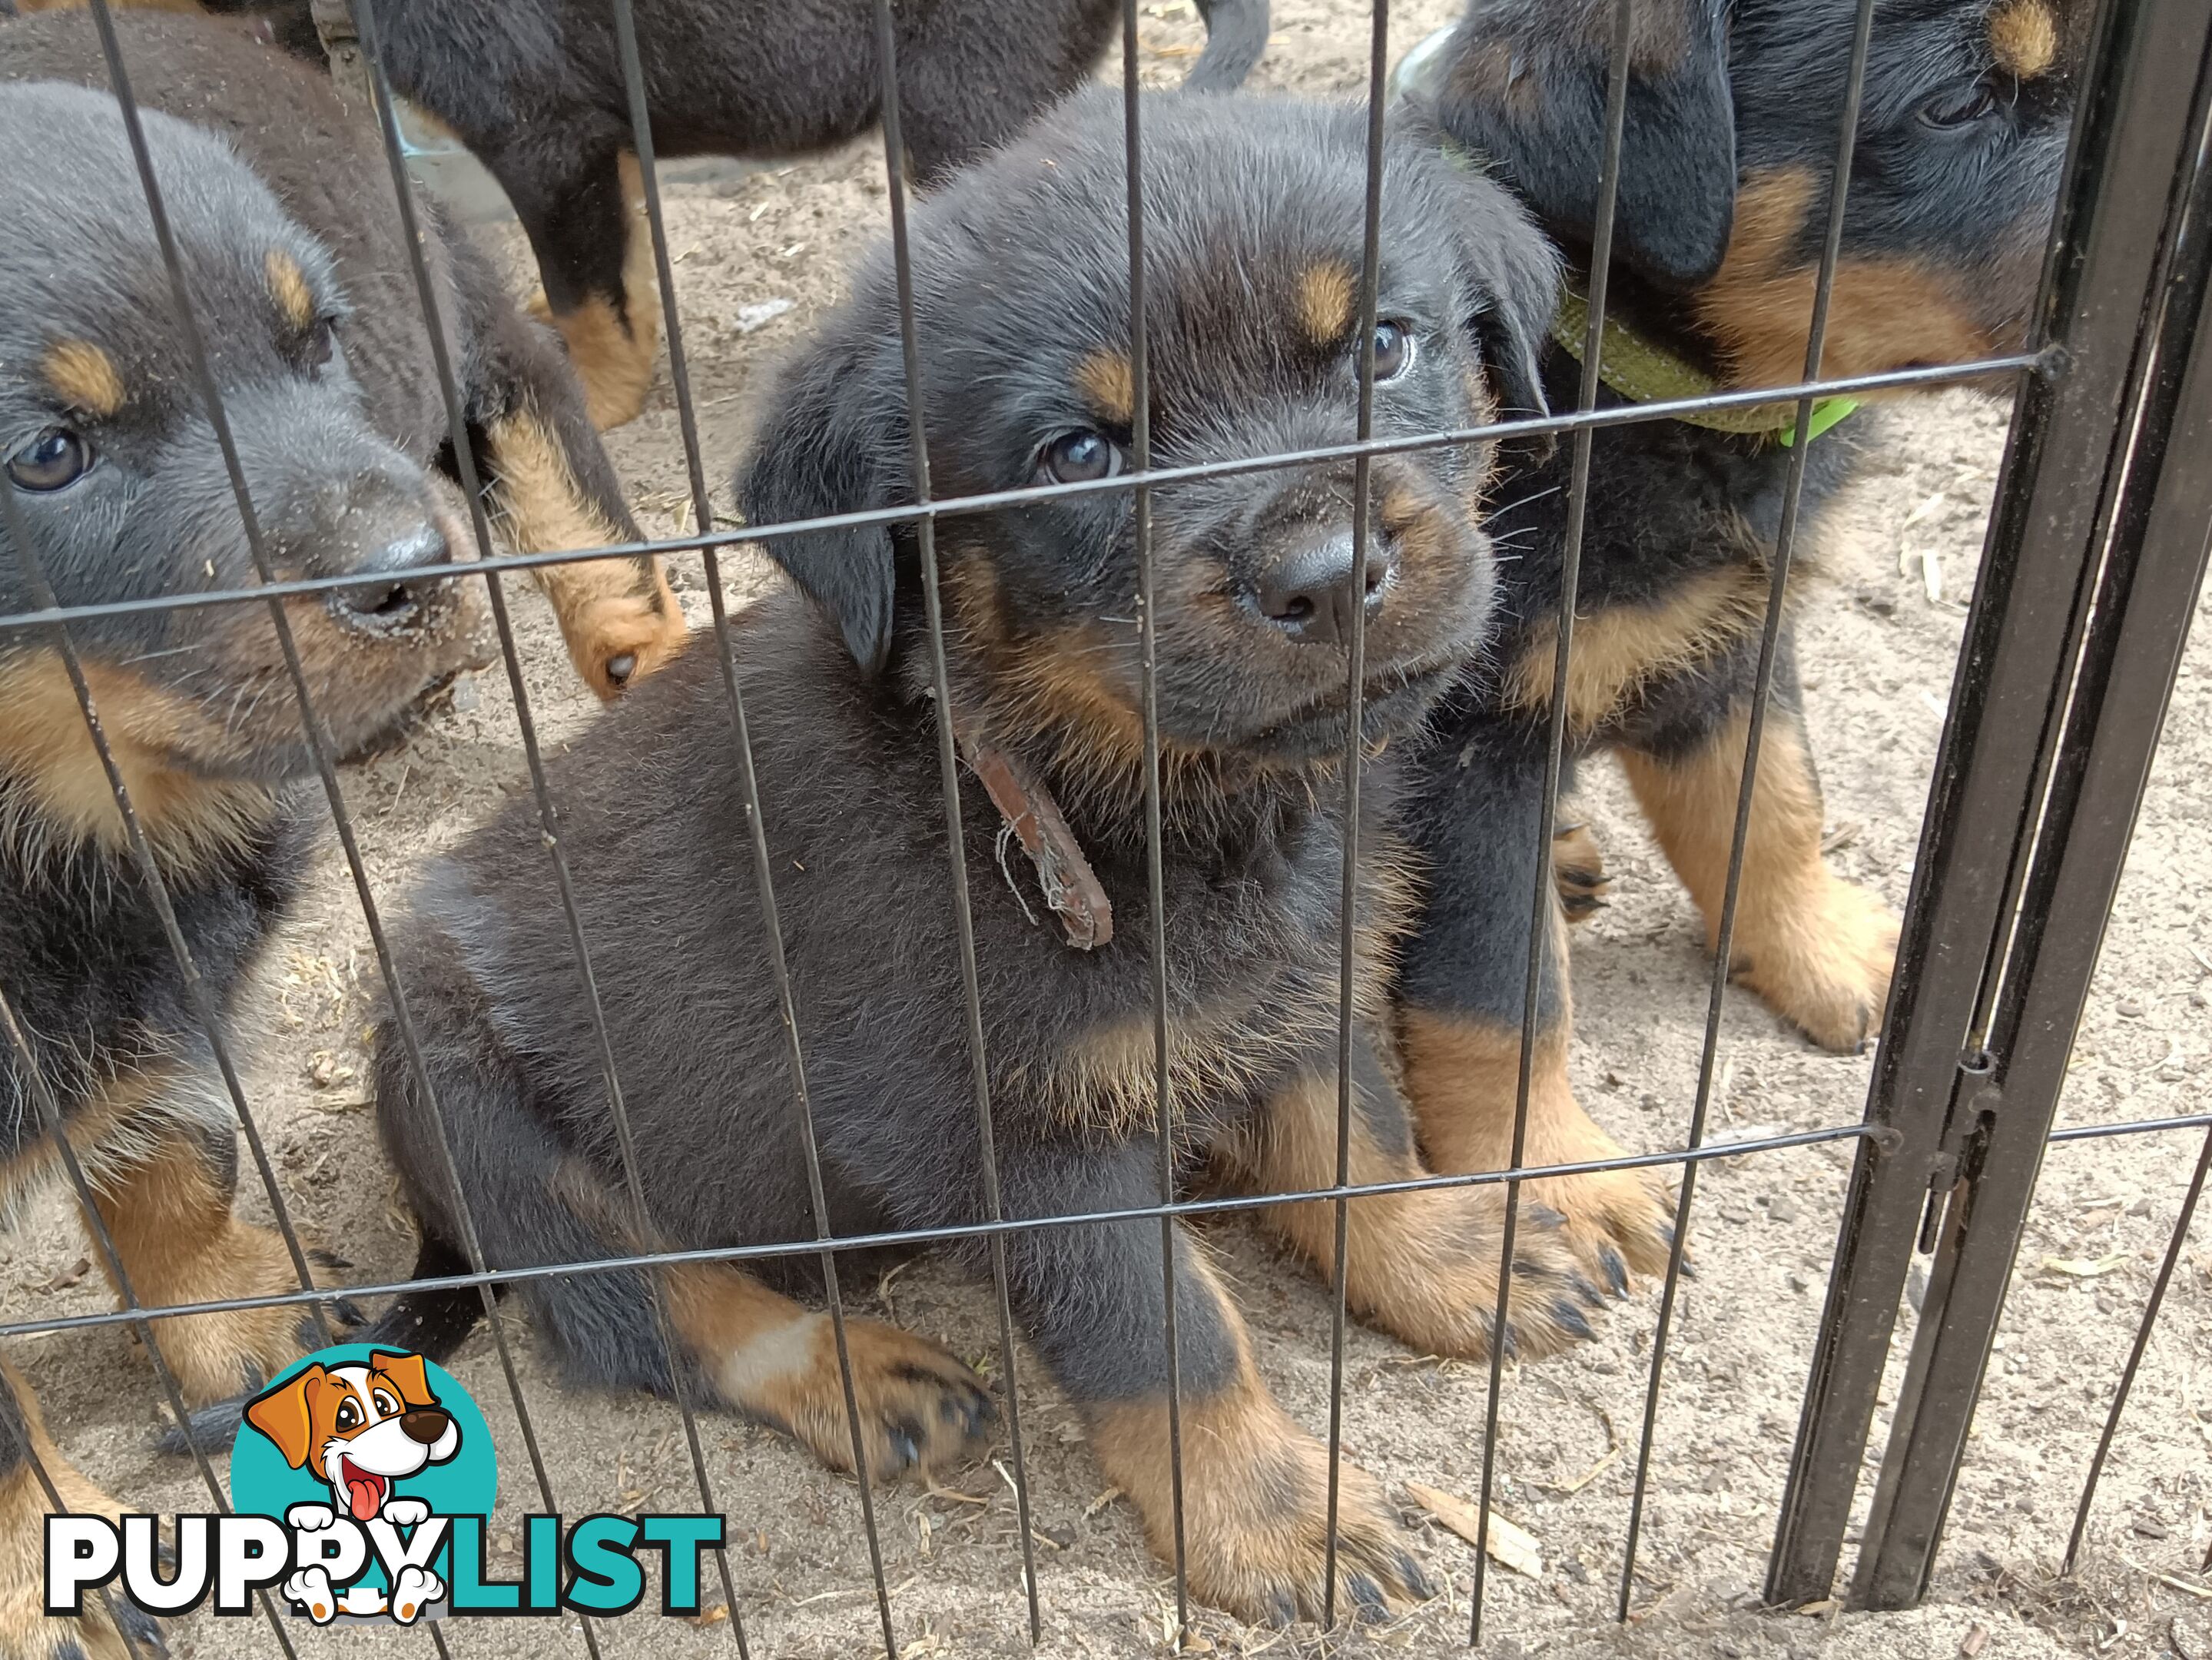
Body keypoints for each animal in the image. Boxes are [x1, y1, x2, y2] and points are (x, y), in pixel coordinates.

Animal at [0, 78, 499, 1660]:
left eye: (316, 340)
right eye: (46, 455)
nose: (419, 567)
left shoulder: (163, 998)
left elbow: (169, 1148)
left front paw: (234, 1325)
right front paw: (39, 1562)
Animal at [305, 0, 1282, 429]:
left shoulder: (540, 133)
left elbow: (587, 297)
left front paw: (597, 398)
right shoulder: (605, 137)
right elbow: (624, 268)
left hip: (964, 95)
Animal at [358, 91, 1574, 1628]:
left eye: (1381, 345)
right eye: (1077, 455)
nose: (1322, 572)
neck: (1081, 795)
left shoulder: (1297, 996)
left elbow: (1354, 1143)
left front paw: (1450, 1262)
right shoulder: (1022, 1137)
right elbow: (1165, 1334)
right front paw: (1273, 1516)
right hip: (481, 1111)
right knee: (650, 1307)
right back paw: (858, 1373)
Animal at [1389, 0, 2079, 1283]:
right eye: (1953, 103)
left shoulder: (1730, 645)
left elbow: (1771, 813)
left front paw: (1825, 948)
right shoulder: (1459, 746)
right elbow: (1498, 991)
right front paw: (1546, 1178)